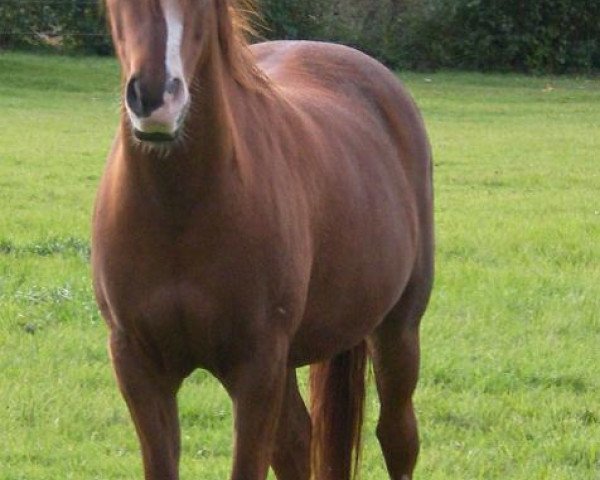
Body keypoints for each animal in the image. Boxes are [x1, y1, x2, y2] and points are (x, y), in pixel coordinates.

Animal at [92, 0, 432, 480]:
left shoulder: (257, 369)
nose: (157, 99)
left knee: (397, 437)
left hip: (397, 331)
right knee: (298, 443)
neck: (181, 208)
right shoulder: (138, 366)